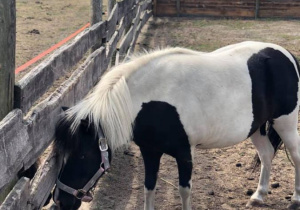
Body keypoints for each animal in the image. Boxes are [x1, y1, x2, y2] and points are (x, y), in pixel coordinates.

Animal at [53, 41, 300, 210]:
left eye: (83, 155)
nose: (59, 200)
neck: (151, 100)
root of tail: (286, 54)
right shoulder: (150, 151)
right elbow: (149, 187)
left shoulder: (185, 153)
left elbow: (184, 191)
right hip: (257, 127)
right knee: (266, 154)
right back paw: (258, 196)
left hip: (285, 122)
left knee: (295, 155)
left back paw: (295, 199)